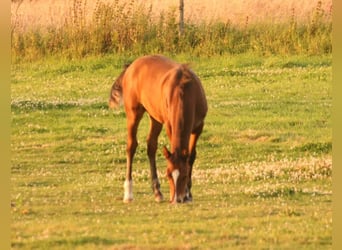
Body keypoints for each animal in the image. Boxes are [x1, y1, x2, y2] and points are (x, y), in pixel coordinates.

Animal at [109, 54, 207, 203]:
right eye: (168, 174)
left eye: (184, 175)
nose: (176, 199)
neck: (184, 91)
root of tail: (132, 66)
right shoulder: (169, 126)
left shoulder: (198, 127)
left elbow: (191, 157)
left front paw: (188, 194)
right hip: (133, 114)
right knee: (131, 146)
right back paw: (128, 193)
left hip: (154, 118)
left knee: (151, 146)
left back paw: (157, 192)